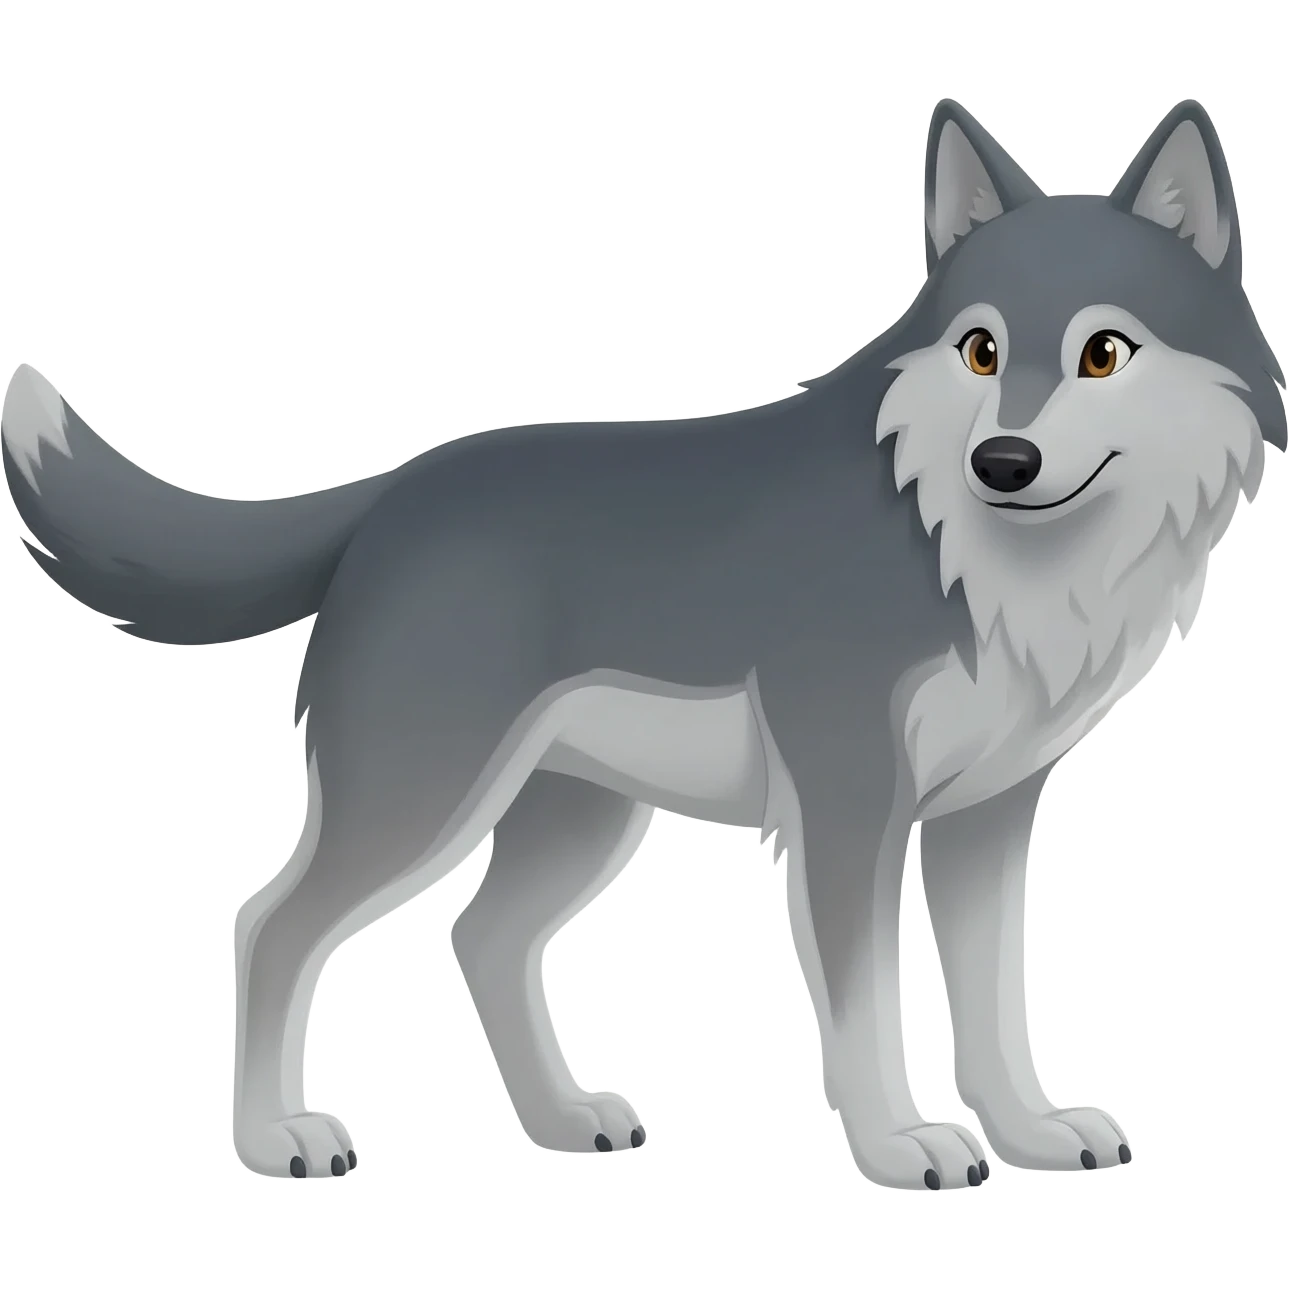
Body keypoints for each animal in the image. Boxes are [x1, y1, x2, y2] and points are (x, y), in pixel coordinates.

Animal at [2, 97, 1283, 1189]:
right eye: (978, 350)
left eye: (1102, 353)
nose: (1000, 462)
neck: (971, 550)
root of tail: (391, 494)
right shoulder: (850, 808)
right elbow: (866, 1009)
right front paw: (898, 1144)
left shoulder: (985, 817)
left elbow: (995, 1001)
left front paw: (1026, 1131)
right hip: (423, 805)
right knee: (267, 924)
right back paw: (276, 1137)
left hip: (579, 818)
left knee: (477, 937)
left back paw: (561, 1119)